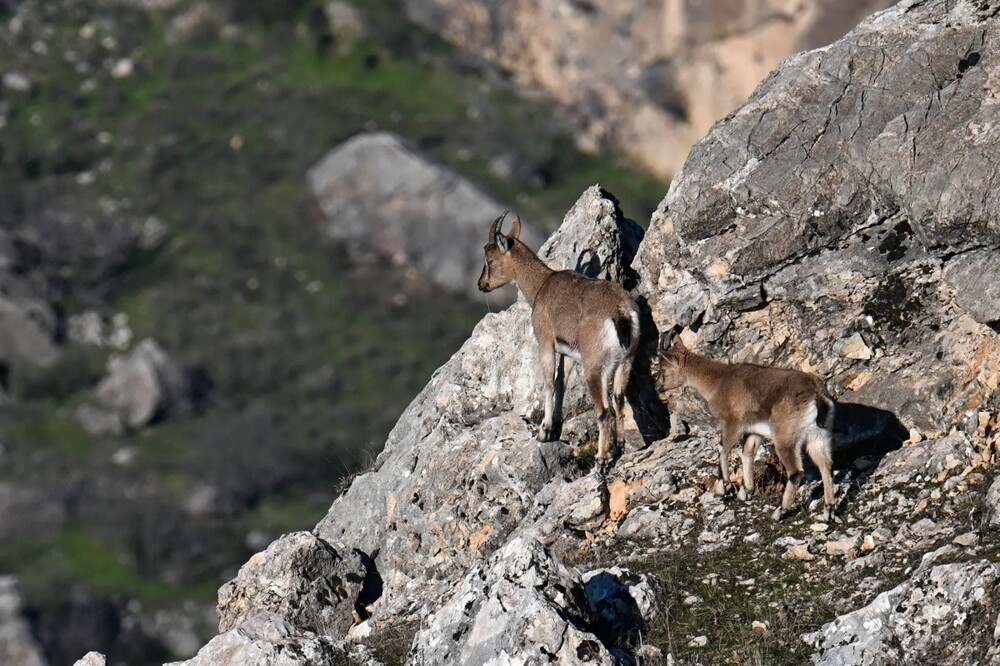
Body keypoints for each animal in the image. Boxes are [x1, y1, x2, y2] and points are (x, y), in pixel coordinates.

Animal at [478, 211, 640, 466]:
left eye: (490, 260)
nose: (481, 284)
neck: (541, 286)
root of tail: (622, 313)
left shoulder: (545, 342)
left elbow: (548, 382)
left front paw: (544, 432)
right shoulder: (569, 353)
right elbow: (561, 383)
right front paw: (555, 429)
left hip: (594, 366)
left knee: (604, 412)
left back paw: (601, 459)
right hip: (624, 361)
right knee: (617, 401)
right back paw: (618, 448)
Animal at [656, 330, 836, 520]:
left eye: (663, 370)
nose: (658, 387)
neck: (719, 382)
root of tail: (817, 395)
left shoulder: (733, 422)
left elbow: (723, 449)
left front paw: (721, 489)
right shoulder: (755, 431)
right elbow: (747, 453)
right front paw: (746, 491)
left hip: (785, 438)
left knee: (796, 472)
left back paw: (779, 512)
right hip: (818, 436)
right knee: (826, 466)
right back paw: (828, 511)